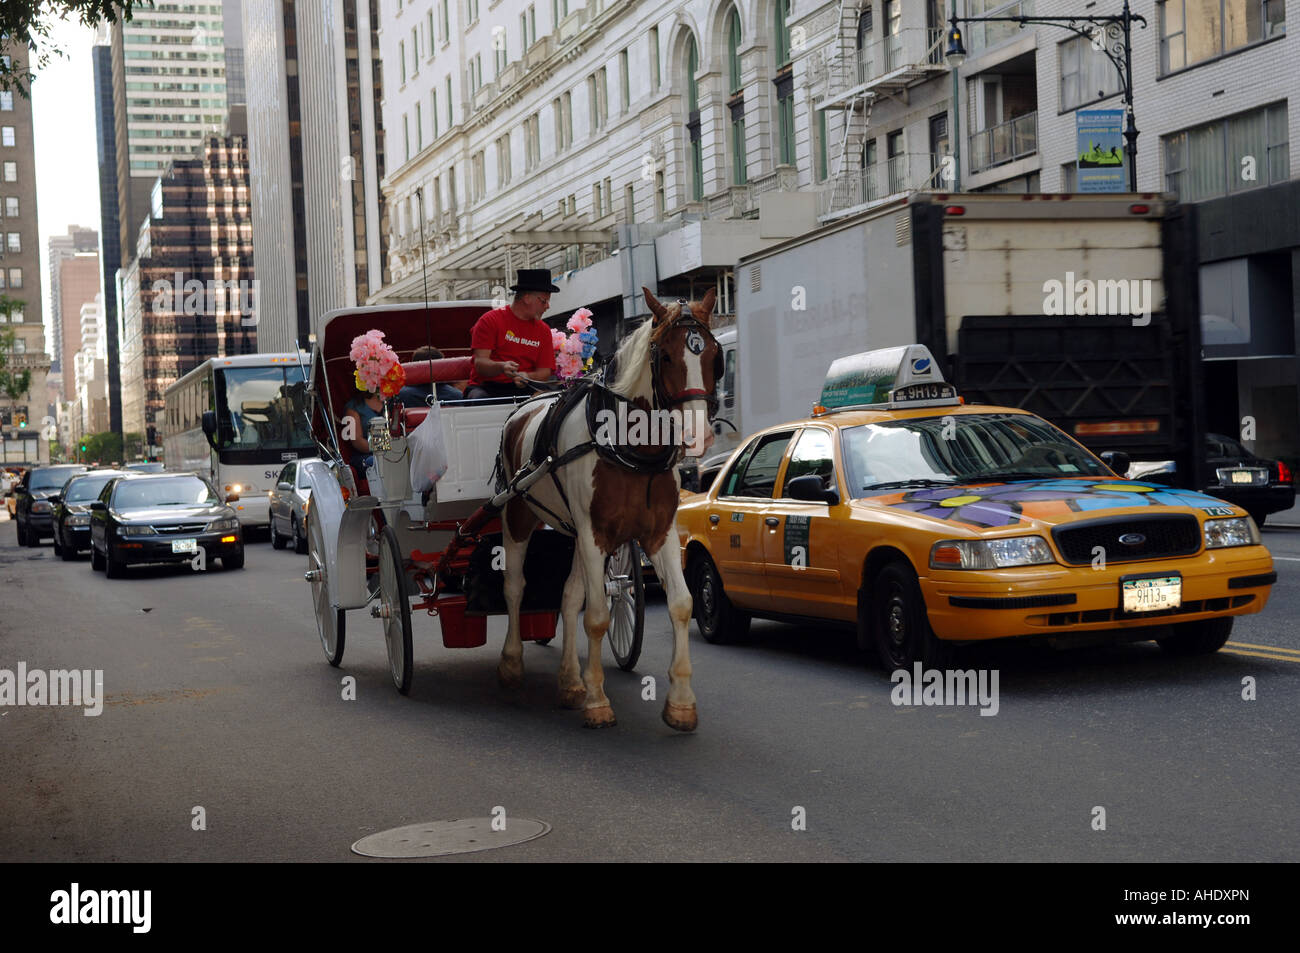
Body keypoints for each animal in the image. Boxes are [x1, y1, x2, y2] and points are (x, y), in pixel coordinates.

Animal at [493, 282, 722, 728]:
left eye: (713, 357)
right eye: (665, 356)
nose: (697, 435)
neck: (631, 449)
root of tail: (524, 405)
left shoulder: (659, 533)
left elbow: (681, 604)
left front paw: (681, 702)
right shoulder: (594, 534)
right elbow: (597, 616)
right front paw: (597, 700)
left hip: (574, 531)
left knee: (568, 597)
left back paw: (569, 680)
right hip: (519, 513)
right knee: (514, 586)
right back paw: (511, 663)